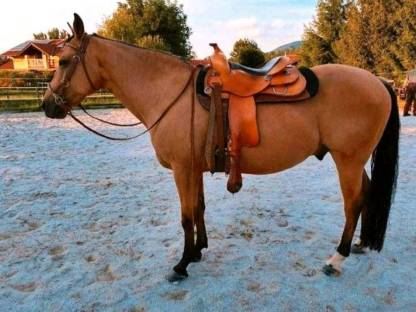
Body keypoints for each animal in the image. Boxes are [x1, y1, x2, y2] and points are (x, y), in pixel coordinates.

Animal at [42, 15, 400, 282]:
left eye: (64, 61)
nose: (47, 105)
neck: (168, 92)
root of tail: (379, 82)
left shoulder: (183, 170)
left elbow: (186, 215)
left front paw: (182, 264)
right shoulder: (194, 168)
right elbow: (199, 209)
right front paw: (199, 250)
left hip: (348, 161)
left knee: (353, 202)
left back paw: (336, 258)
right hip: (355, 162)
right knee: (367, 194)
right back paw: (361, 244)